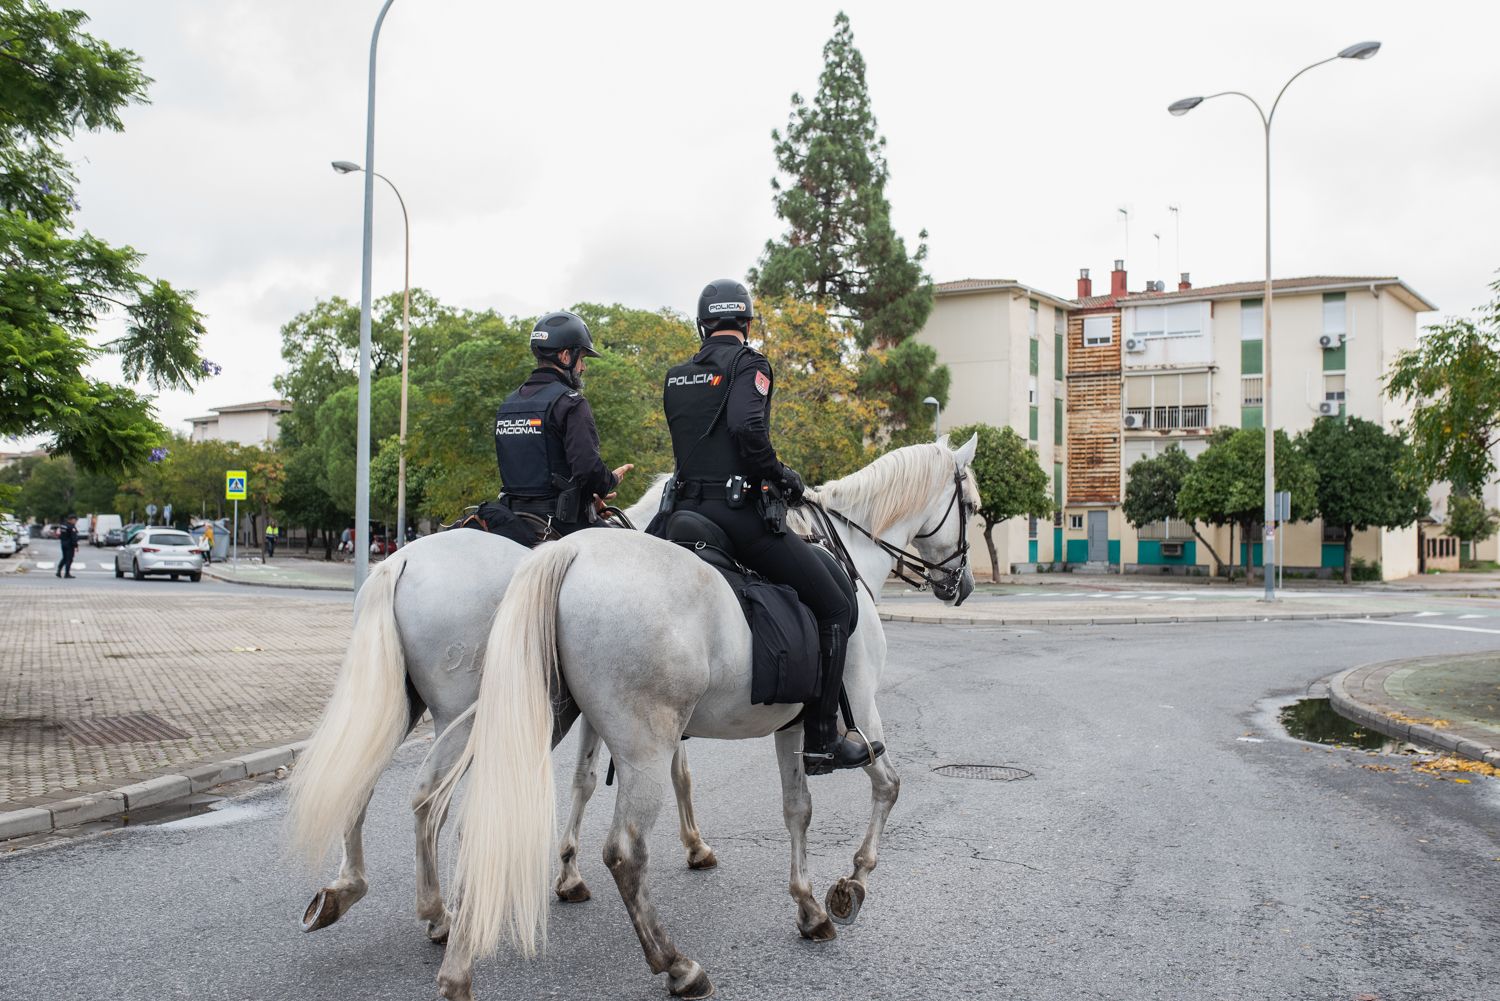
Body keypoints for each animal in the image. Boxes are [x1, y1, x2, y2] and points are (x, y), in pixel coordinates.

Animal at [286, 483, 708, 942]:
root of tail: (399, 561)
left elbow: (593, 778)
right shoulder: (632, 712)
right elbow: (659, 775)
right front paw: (694, 845)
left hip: (397, 708)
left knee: (359, 776)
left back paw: (347, 888)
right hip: (462, 720)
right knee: (429, 797)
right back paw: (438, 912)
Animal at [429, 438, 978, 1001]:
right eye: (973, 507)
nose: (963, 585)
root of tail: (571, 551)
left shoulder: (792, 726)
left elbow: (797, 809)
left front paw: (809, 908)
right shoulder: (861, 710)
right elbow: (887, 786)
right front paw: (852, 886)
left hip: (536, 720)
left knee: (480, 825)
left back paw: (456, 968)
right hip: (643, 747)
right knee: (624, 852)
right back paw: (676, 964)